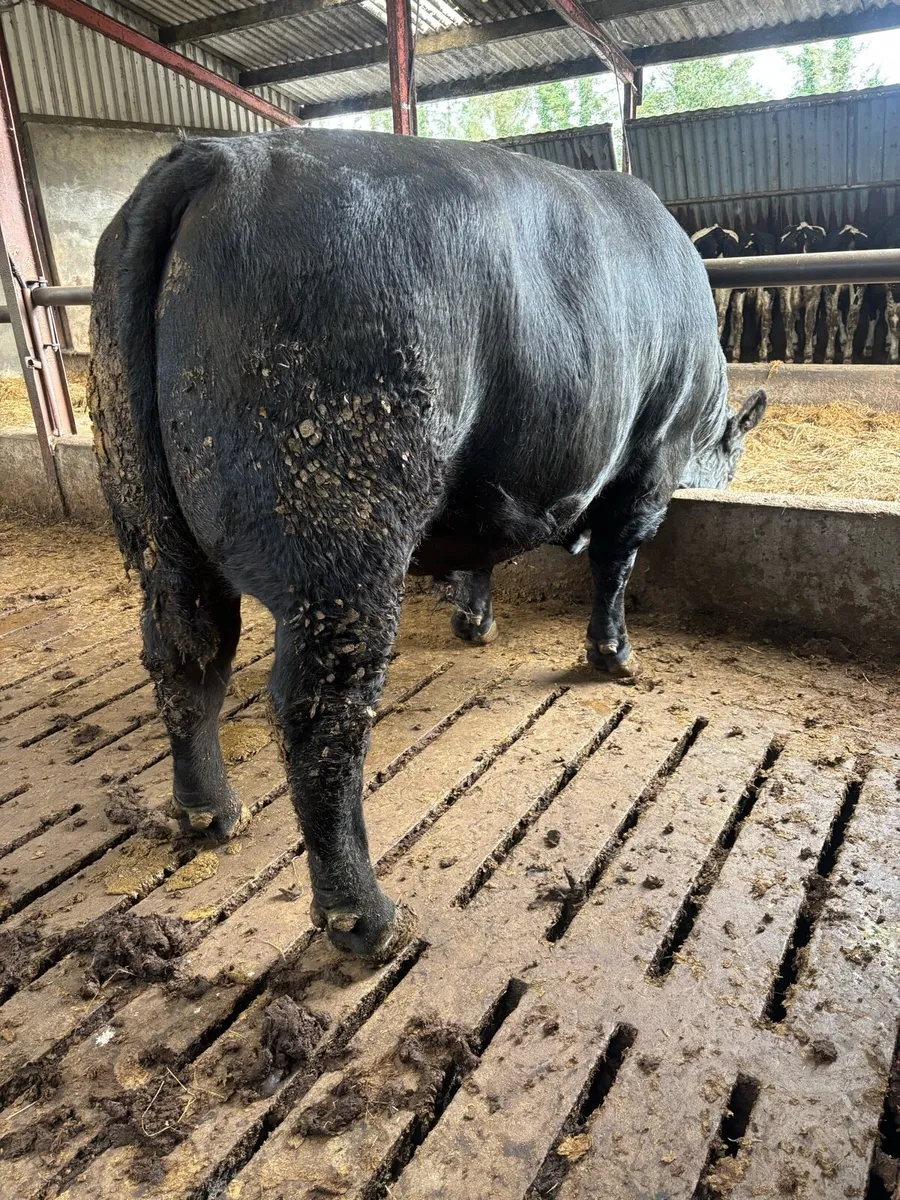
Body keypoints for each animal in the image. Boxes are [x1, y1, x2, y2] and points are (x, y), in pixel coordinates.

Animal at [89, 129, 766, 961]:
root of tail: (219, 158)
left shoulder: (491, 486)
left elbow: (485, 550)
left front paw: (476, 621)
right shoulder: (651, 457)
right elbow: (615, 565)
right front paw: (614, 656)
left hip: (156, 533)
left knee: (186, 655)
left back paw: (208, 811)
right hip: (341, 544)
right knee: (318, 715)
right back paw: (364, 916)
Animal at [778, 222, 827, 362]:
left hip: (784, 290)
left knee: (788, 317)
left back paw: (789, 356)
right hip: (814, 294)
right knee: (809, 321)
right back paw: (808, 356)